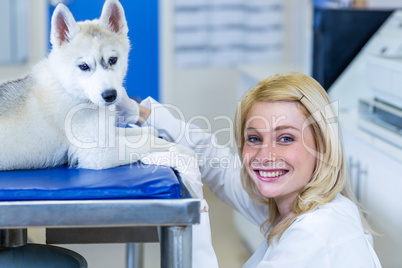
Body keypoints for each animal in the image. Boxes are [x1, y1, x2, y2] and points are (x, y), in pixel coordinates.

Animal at [0, 0, 174, 171]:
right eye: (84, 66)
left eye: (113, 60)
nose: (110, 95)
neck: (66, 88)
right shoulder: (99, 152)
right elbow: (148, 140)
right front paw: (176, 148)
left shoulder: (107, 133)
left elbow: (140, 132)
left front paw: (153, 131)